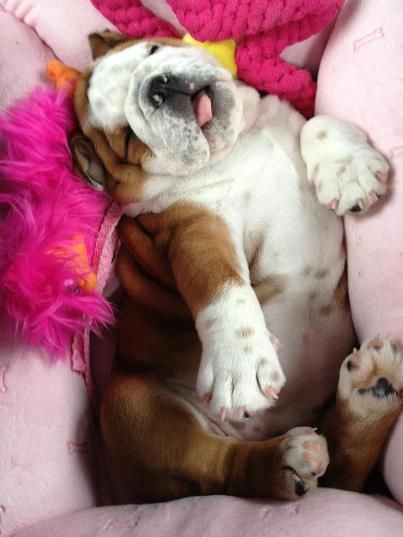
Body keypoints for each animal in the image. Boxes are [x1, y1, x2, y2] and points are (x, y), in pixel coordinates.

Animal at [72, 31, 403, 500]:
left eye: (154, 50)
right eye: (128, 139)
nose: (160, 86)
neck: (236, 145)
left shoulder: (288, 117)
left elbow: (316, 122)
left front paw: (348, 172)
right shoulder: (196, 227)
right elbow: (220, 283)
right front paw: (239, 361)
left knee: (345, 473)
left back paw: (371, 392)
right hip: (128, 408)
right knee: (220, 467)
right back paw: (285, 460)